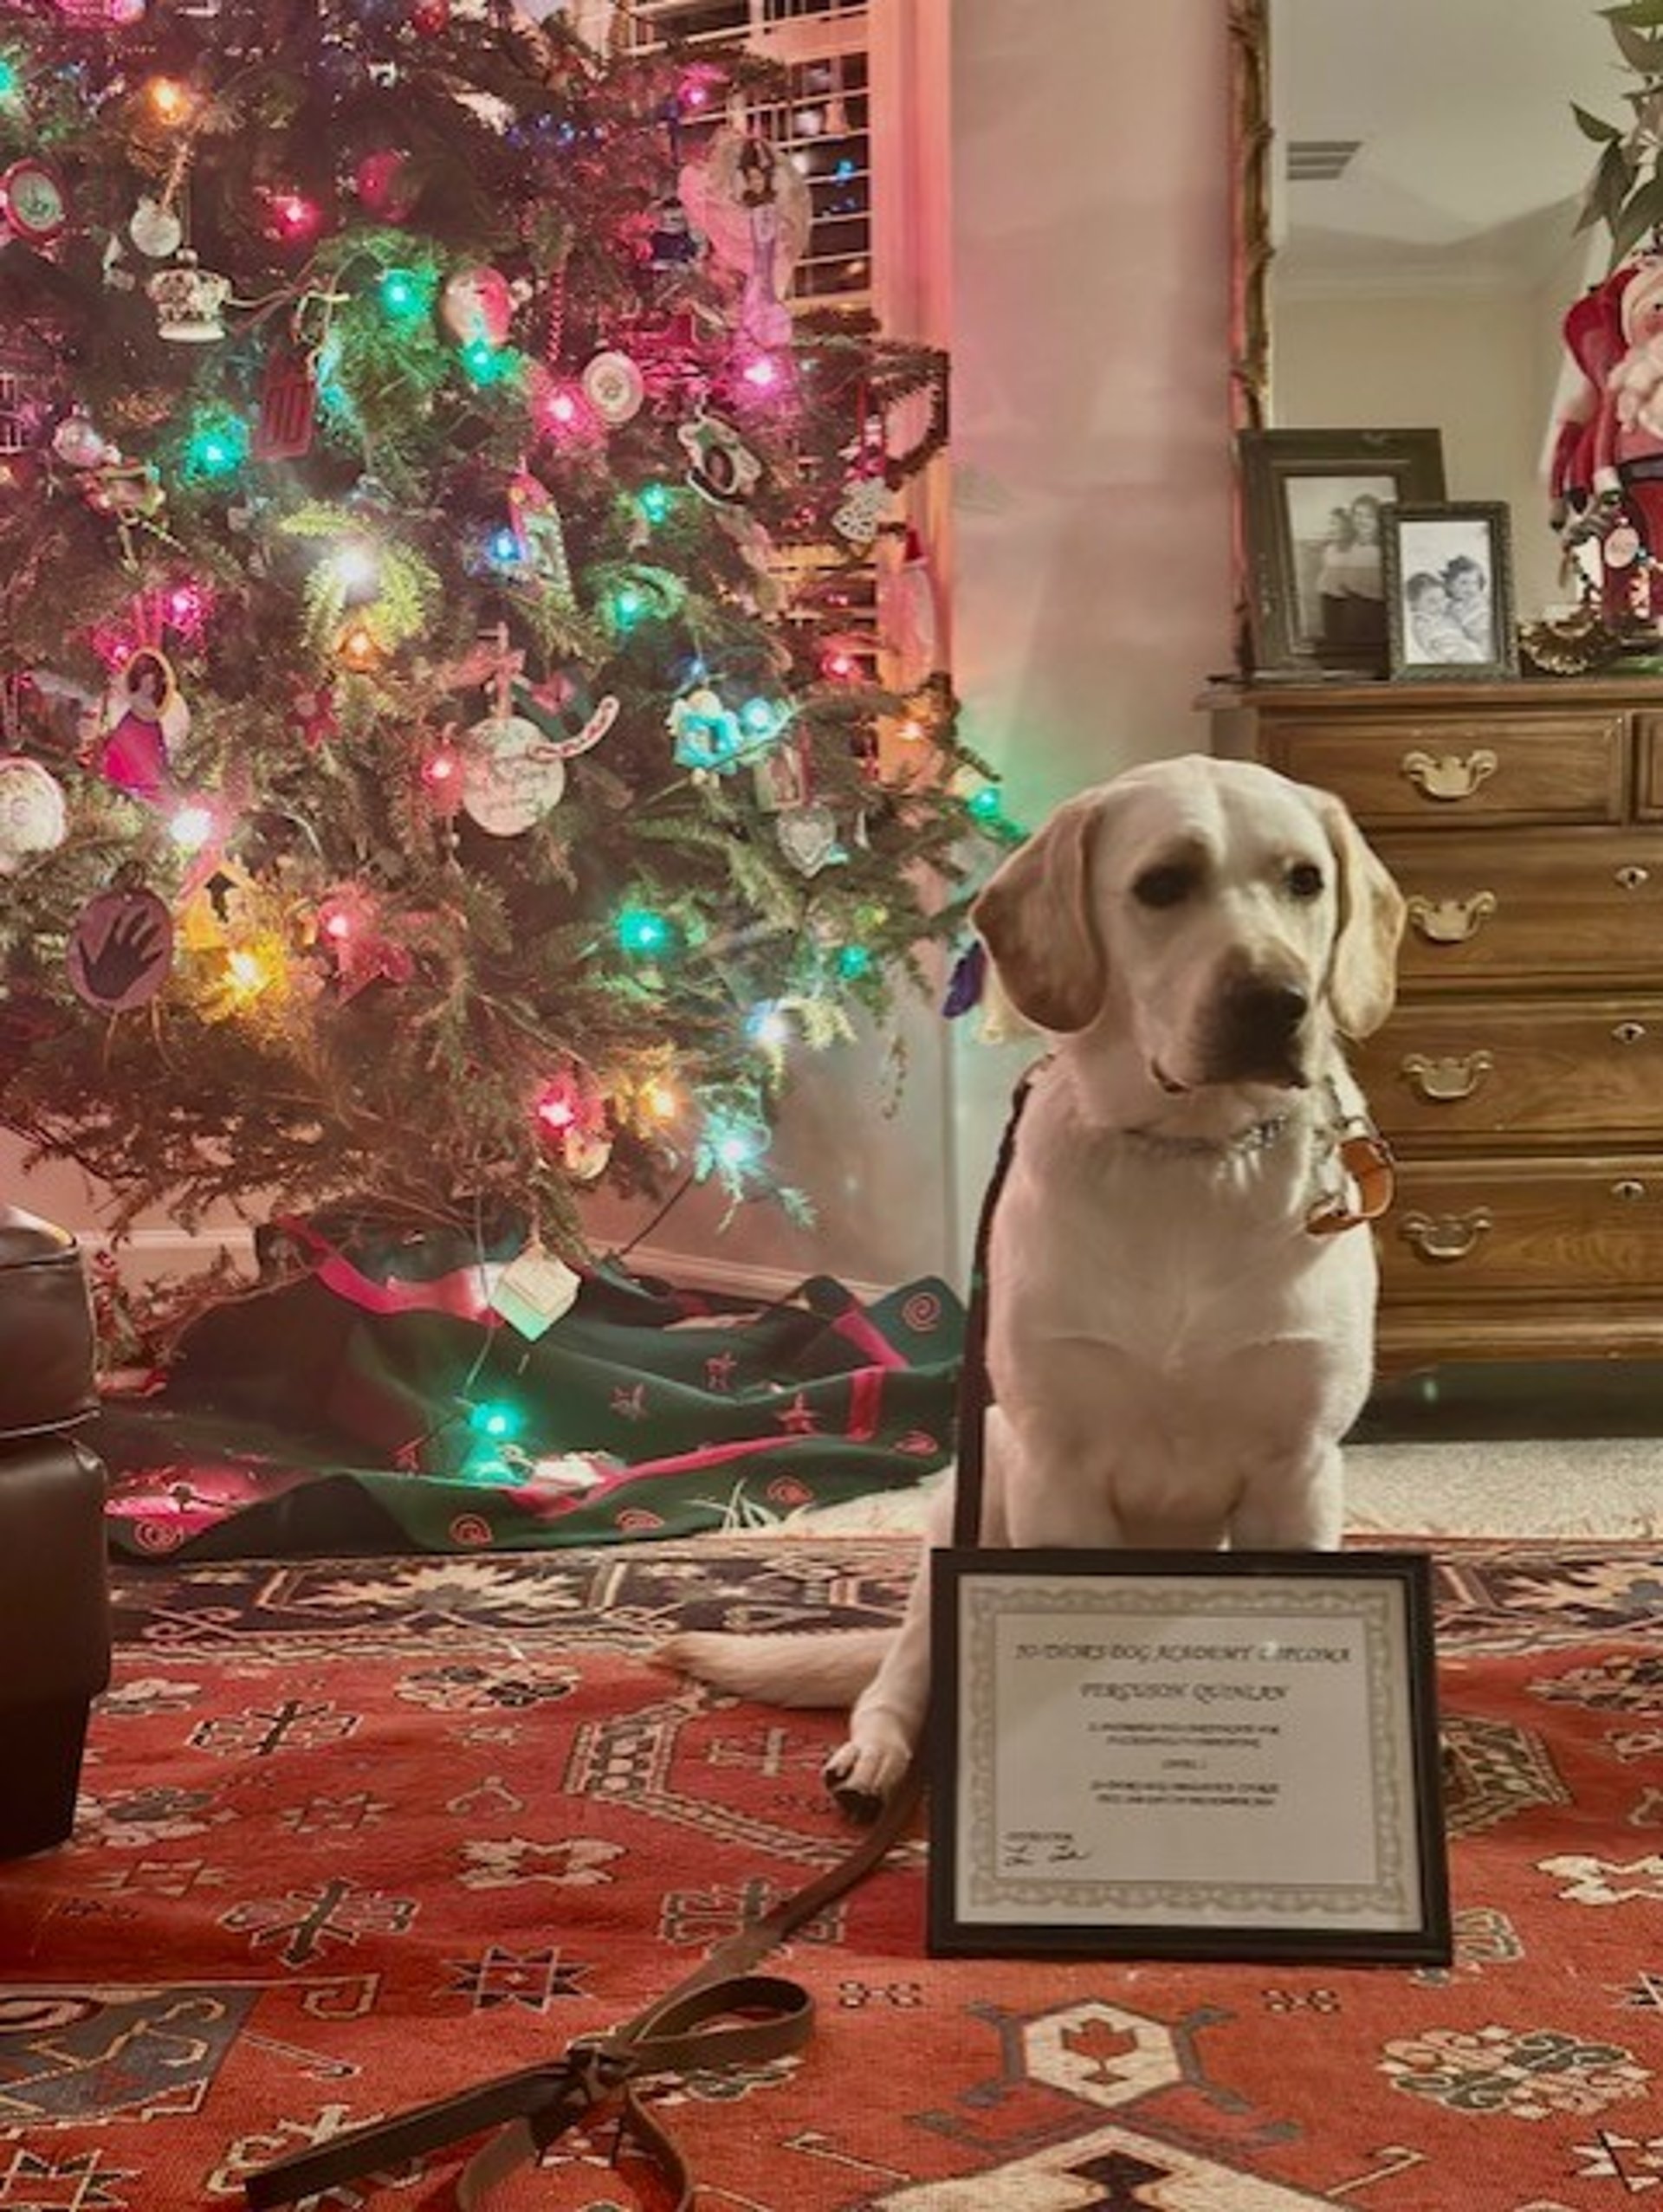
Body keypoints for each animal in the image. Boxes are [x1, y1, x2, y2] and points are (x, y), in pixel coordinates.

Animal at [663, 756, 1406, 1814]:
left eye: (1306, 879)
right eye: (1162, 884)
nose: (1276, 999)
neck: (1192, 1158)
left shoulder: (1297, 1469)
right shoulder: (1062, 1465)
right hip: (971, 1504)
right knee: (901, 1670)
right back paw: (877, 1760)